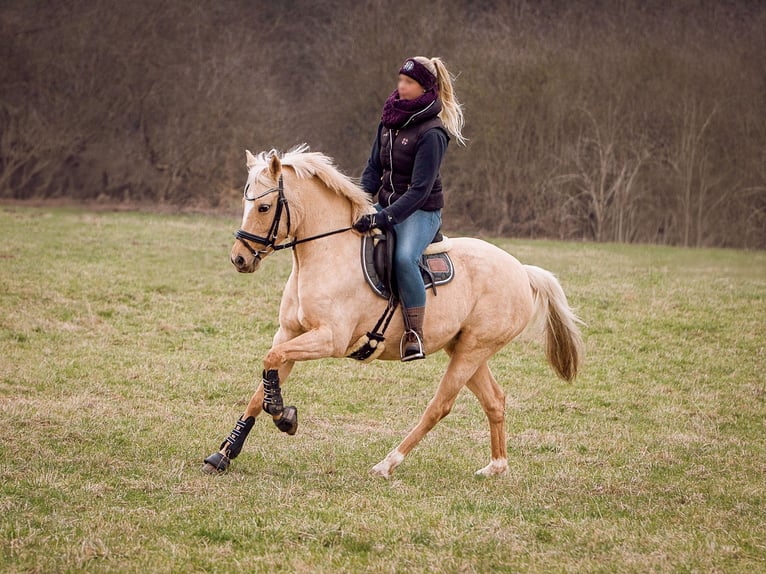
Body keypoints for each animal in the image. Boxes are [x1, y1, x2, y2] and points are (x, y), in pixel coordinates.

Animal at [202, 145, 583, 479]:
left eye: (264, 207)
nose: (239, 258)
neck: (326, 254)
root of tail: (522, 270)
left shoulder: (329, 339)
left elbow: (270, 363)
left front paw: (284, 416)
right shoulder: (290, 333)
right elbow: (263, 383)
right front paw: (224, 454)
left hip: (473, 350)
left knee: (439, 406)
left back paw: (387, 464)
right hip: (464, 348)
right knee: (495, 401)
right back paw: (496, 467)